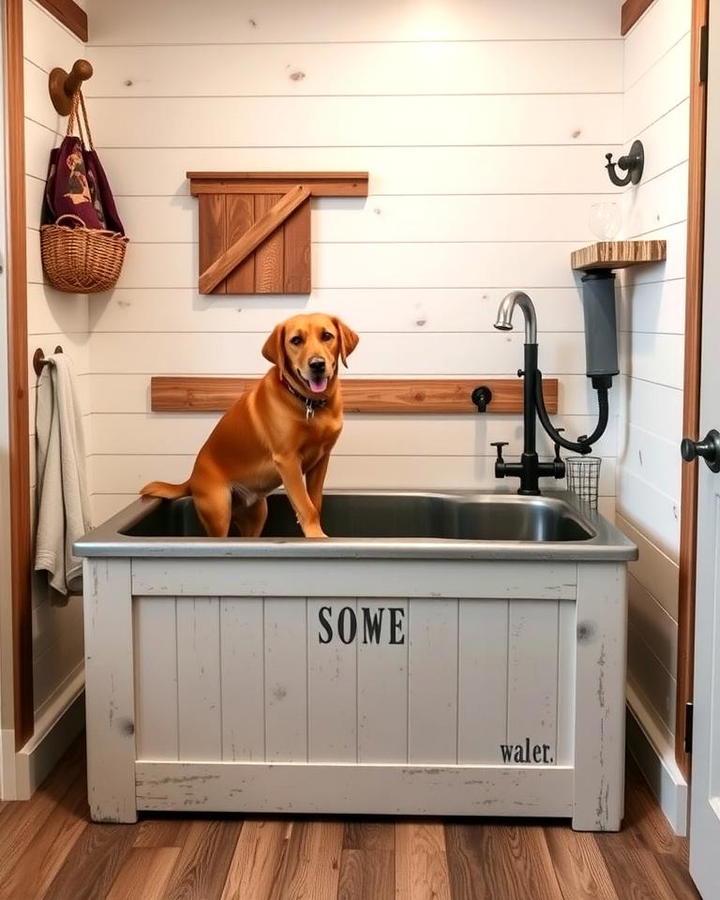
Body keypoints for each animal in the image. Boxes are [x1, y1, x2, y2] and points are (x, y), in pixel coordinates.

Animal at [139, 312, 358, 536]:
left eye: (327, 336)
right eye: (296, 340)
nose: (317, 364)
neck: (310, 403)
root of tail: (191, 478)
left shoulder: (321, 460)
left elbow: (315, 502)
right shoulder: (287, 460)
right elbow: (306, 506)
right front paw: (316, 535)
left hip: (258, 513)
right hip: (219, 511)